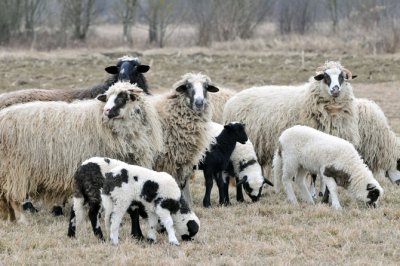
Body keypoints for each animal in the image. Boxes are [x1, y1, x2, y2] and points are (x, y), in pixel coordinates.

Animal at [0, 81, 164, 222]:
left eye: (123, 97)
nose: (106, 111)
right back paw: (21, 219)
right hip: (14, 169)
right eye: (107, 98)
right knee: (12, 196)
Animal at [152, 72, 219, 206]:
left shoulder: (185, 159)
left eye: (206, 86)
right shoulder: (169, 158)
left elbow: (183, 183)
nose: (199, 102)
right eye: (188, 86)